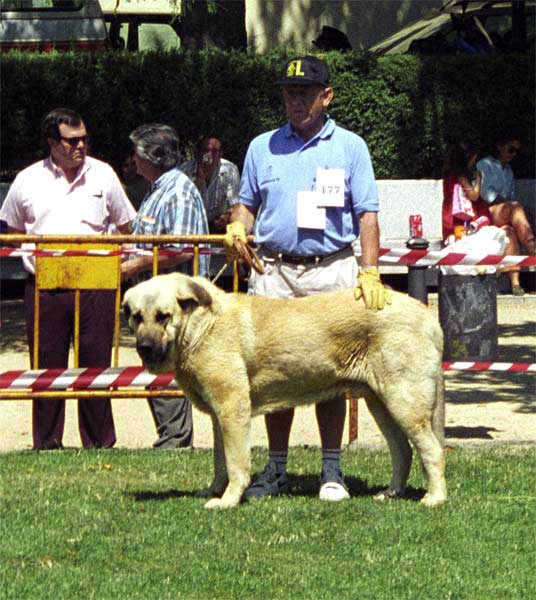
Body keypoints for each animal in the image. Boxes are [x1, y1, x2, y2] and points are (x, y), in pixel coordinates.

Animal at [123, 274, 446, 508]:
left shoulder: (232, 410)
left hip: (404, 401)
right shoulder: (219, 416)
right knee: (403, 449)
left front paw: (227, 501)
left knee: (431, 449)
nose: (144, 347)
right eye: (136, 316)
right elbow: (220, 461)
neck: (201, 326)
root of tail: (429, 316)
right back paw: (391, 494)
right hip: (379, 402)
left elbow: (236, 463)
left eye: (163, 316)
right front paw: (214, 491)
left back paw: (435, 498)